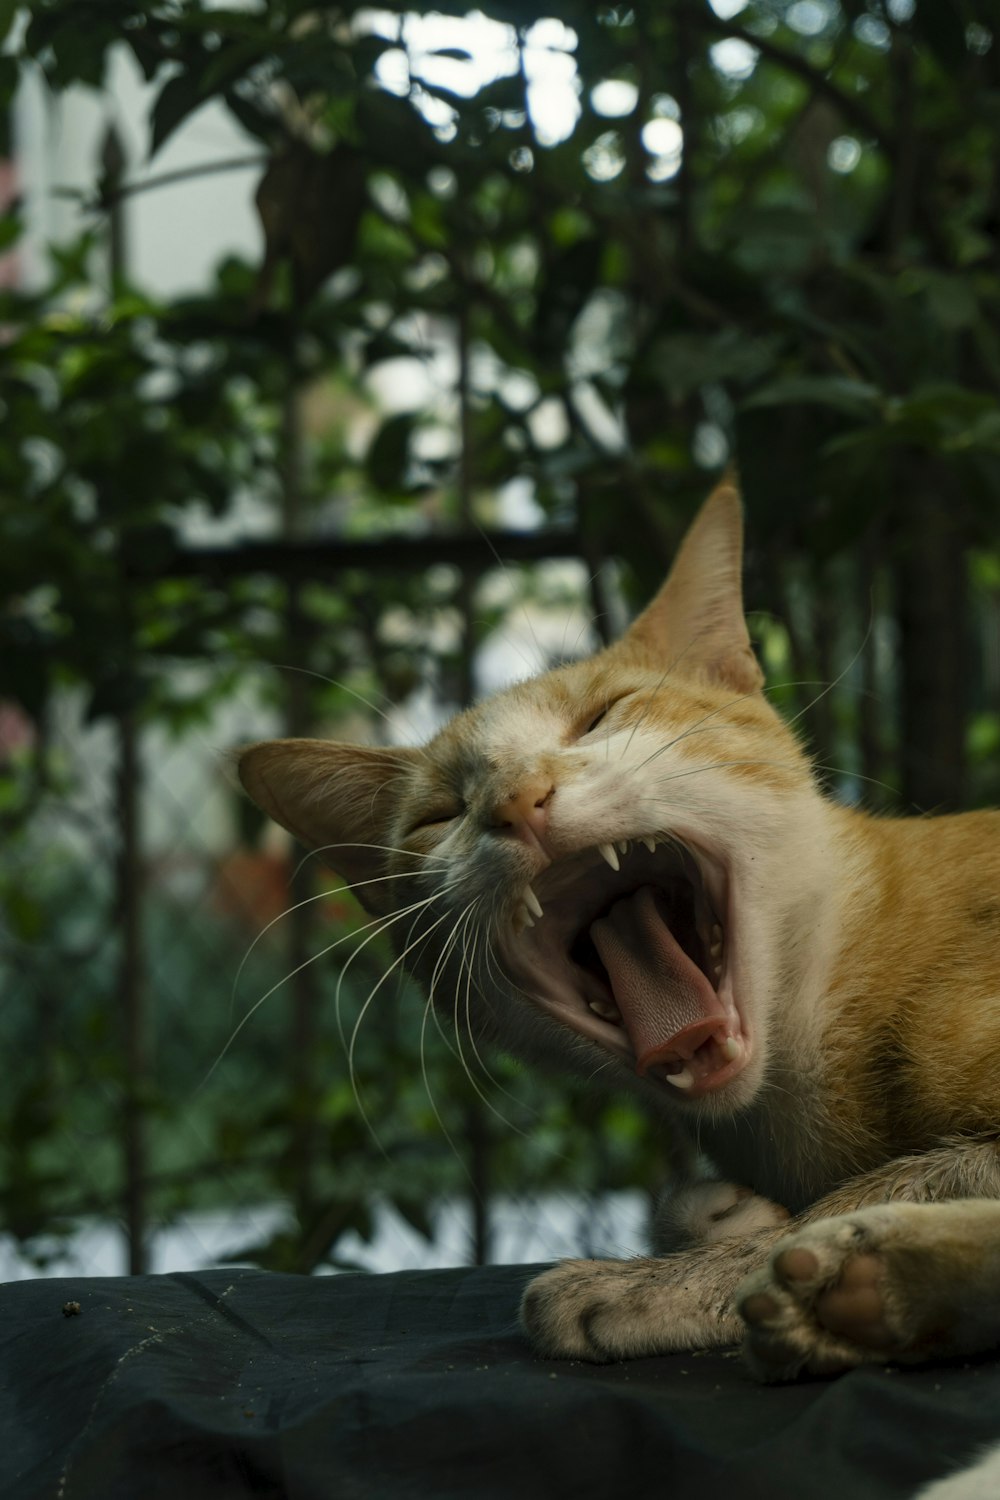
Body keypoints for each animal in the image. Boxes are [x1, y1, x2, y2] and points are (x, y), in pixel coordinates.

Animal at [238, 489, 1000, 1380]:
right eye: (437, 815)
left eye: (603, 714)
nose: (516, 796)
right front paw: (723, 1222)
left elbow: (902, 1180)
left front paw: (670, 1280)